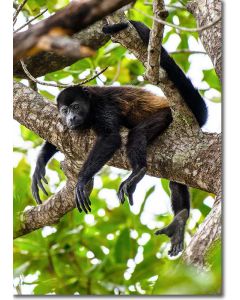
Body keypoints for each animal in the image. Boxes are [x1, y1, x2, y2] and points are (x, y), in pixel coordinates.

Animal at [31, 20, 207, 255]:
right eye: (64, 111)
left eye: (76, 107)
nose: (71, 118)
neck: (90, 106)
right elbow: (57, 136)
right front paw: (39, 165)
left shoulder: (103, 106)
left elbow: (110, 138)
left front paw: (81, 181)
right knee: (176, 182)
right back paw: (180, 218)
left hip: (166, 116)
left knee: (137, 134)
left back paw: (138, 170)